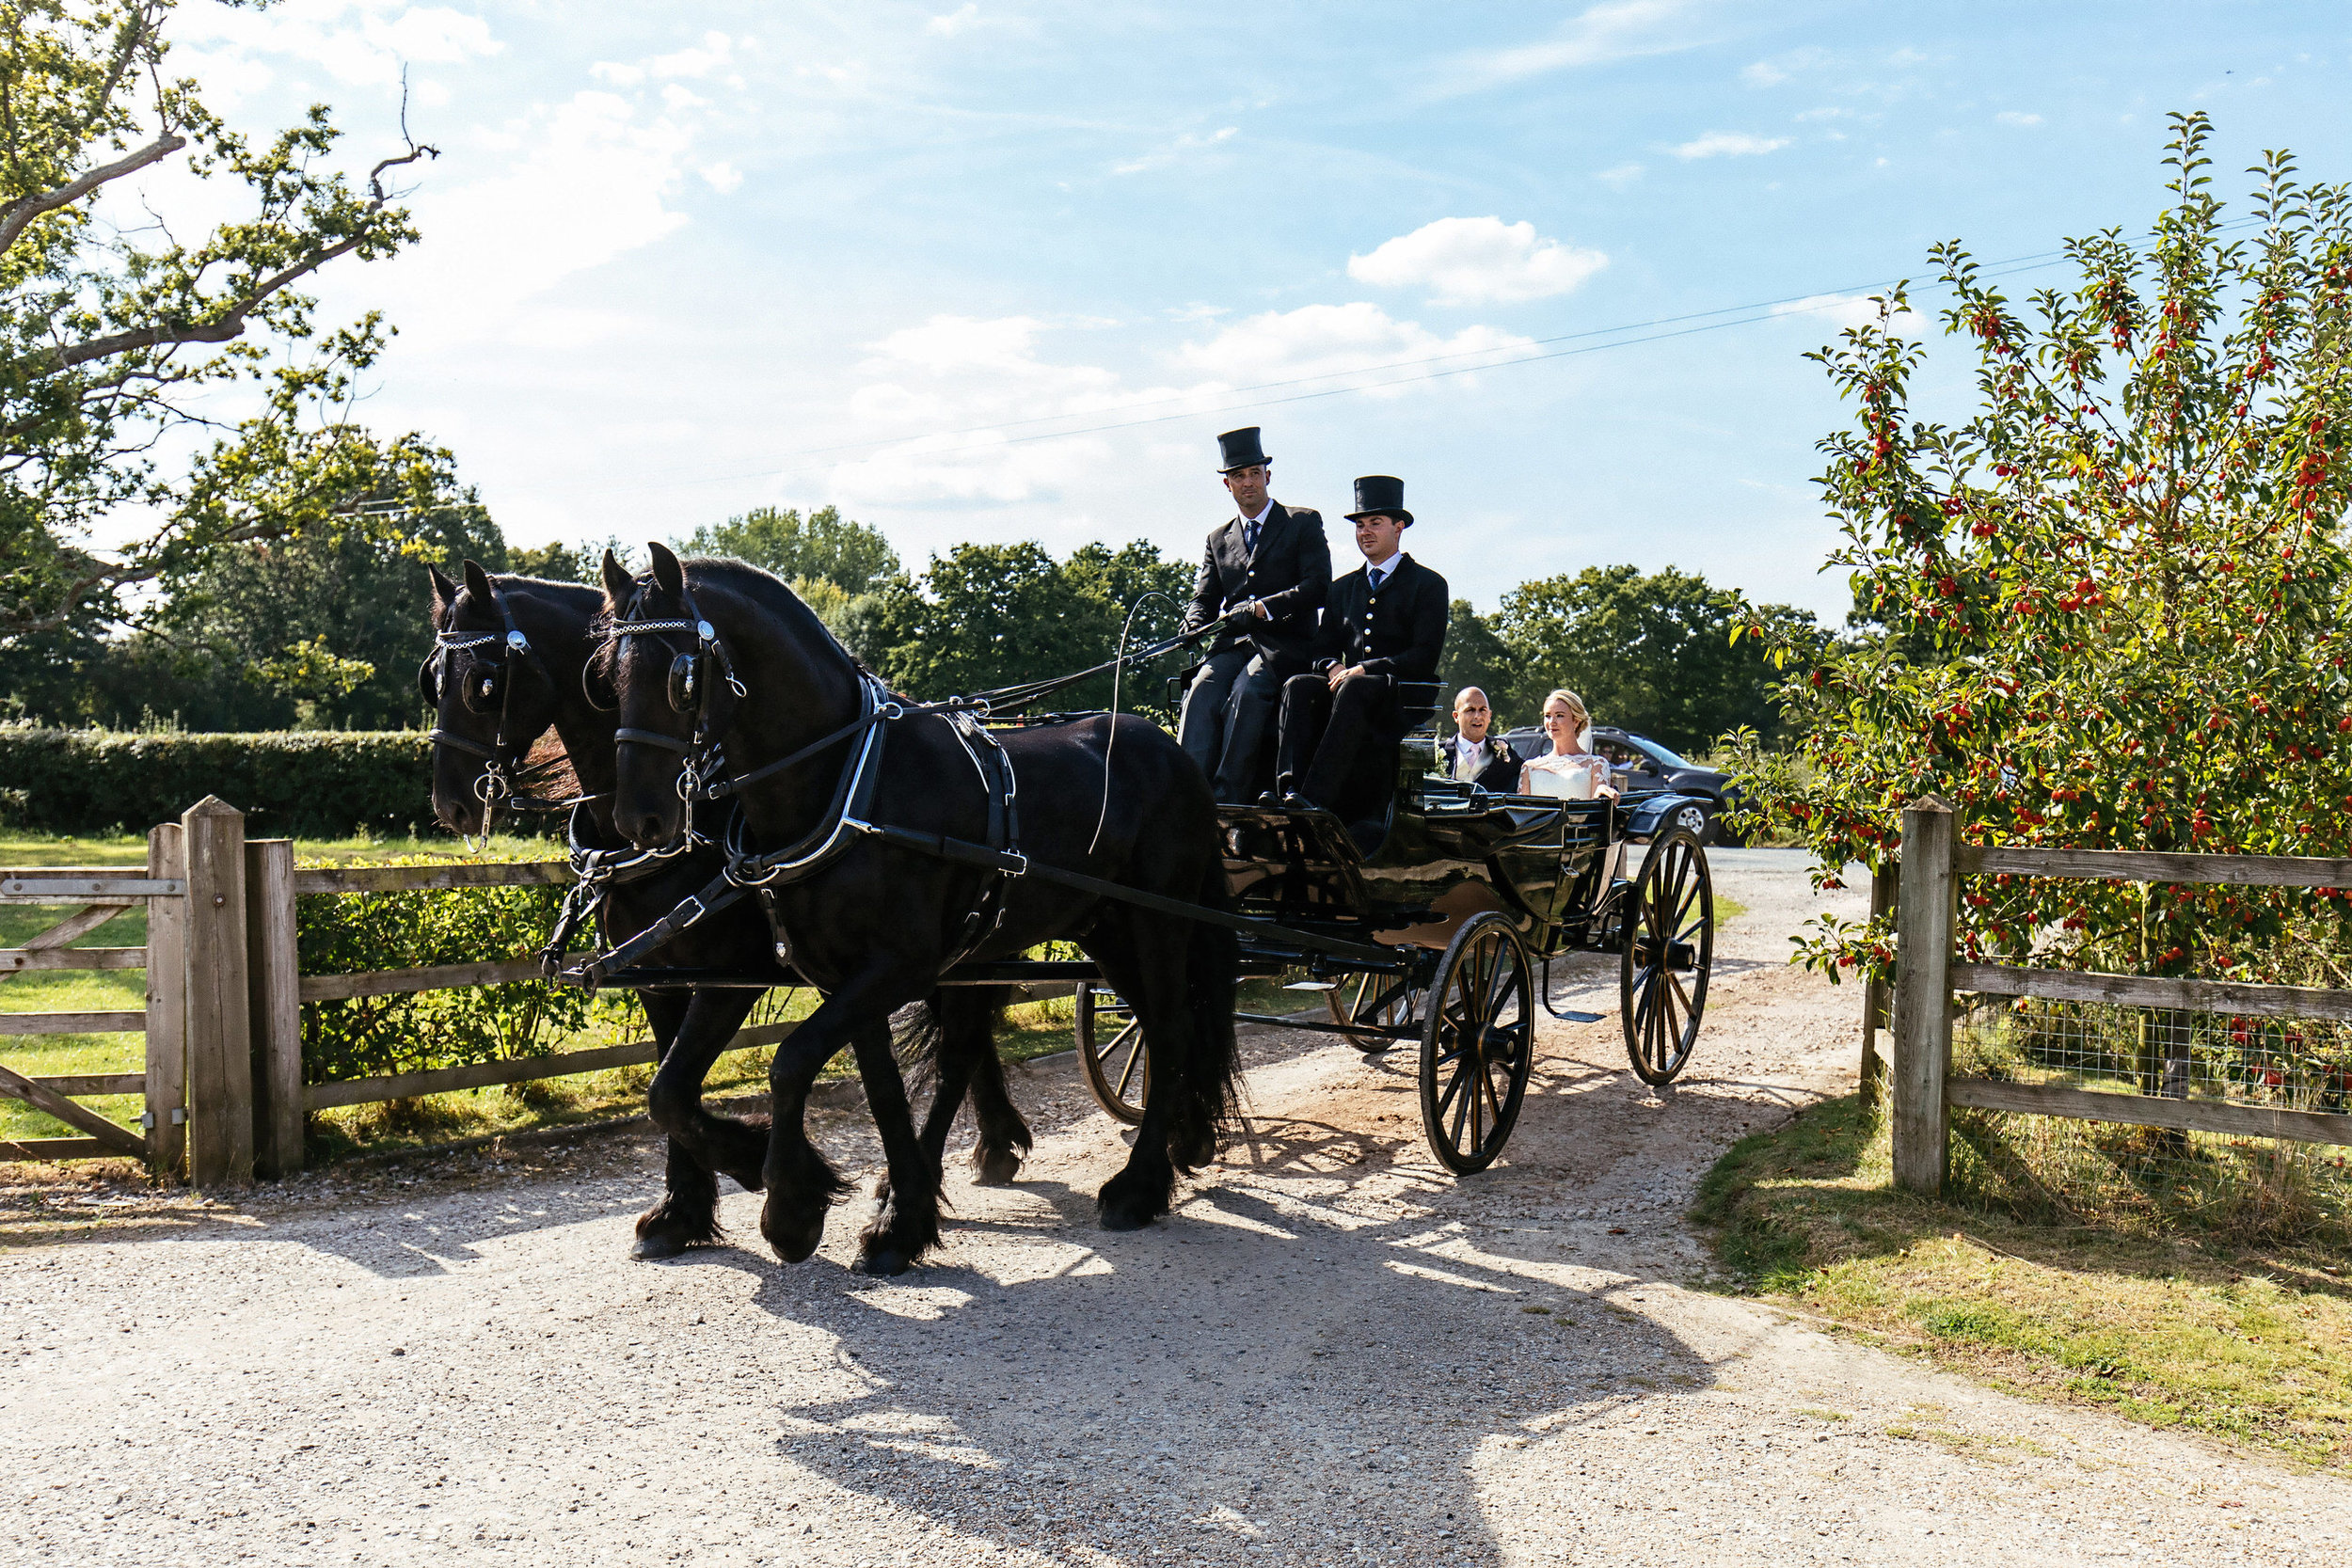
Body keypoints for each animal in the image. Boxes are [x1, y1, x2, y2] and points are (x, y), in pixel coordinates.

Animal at [421, 563, 1040, 1259]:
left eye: (482, 683)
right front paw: (683, 1209)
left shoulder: (729, 979)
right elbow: (666, 1089)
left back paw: (951, 1167)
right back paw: (982, 1148)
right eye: (431, 679)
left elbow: (672, 1091)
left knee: (962, 1040)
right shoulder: (659, 979)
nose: (450, 804)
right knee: (966, 1037)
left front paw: (778, 1176)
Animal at [597, 543, 1242, 1278]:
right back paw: (1179, 1144)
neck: (850, 780)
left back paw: (1139, 1186)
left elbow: (790, 1060)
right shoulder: (837, 974)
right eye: (609, 676)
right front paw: (897, 1218)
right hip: (1107, 931)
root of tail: (1173, 751)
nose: (639, 819)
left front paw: (793, 1207)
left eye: (680, 676)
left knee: (1168, 1029)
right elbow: (868, 1089)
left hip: (1158, 923)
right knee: (1160, 1030)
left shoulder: (892, 967)